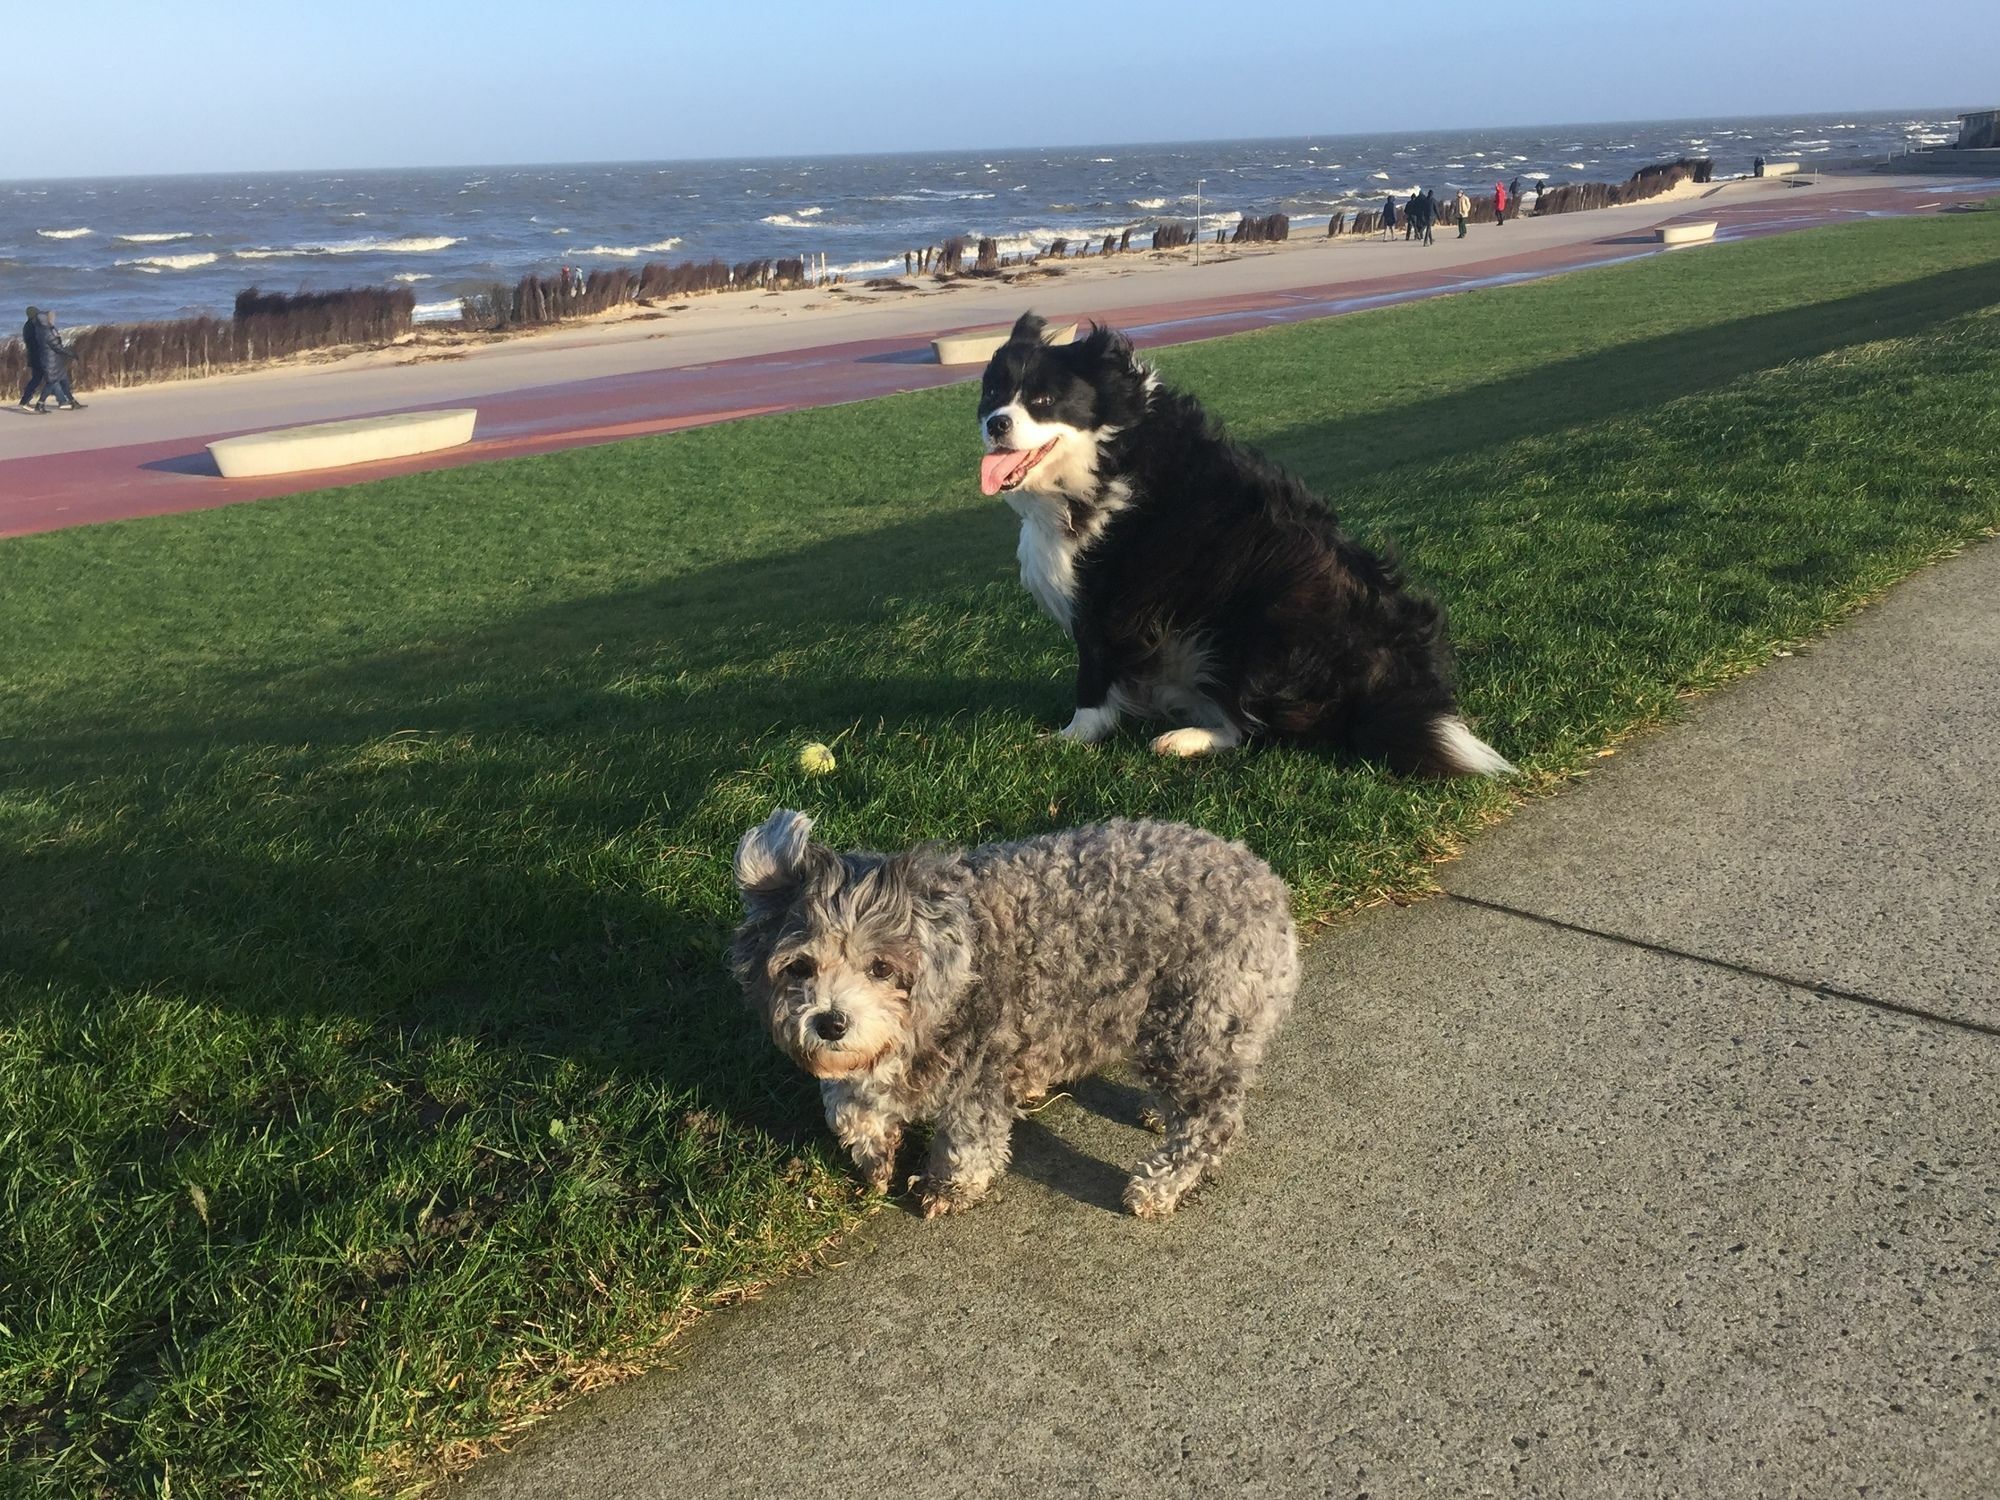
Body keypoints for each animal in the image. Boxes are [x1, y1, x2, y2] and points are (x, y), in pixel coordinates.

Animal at [732, 812, 1296, 1224]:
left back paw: (1158, 1185)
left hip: (1192, 1026)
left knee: (1210, 1121)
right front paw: (874, 1152)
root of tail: (1269, 886)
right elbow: (847, 1106)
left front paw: (948, 1185)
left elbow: (967, 1140)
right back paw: (1158, 1112)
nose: (830, 1022)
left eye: (881, 968)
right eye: (799, 967)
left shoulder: (981, 1069)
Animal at [976, 306, 1504, 776]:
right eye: (992, 393)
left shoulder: (1103, 598)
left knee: (1253, 726)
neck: (1105, 455)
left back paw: (1187, 738)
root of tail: (1383, 691)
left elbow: (1092, 678)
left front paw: (1072, 736)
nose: (996, 423)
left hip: (1256, 619)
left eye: (1044, 401)